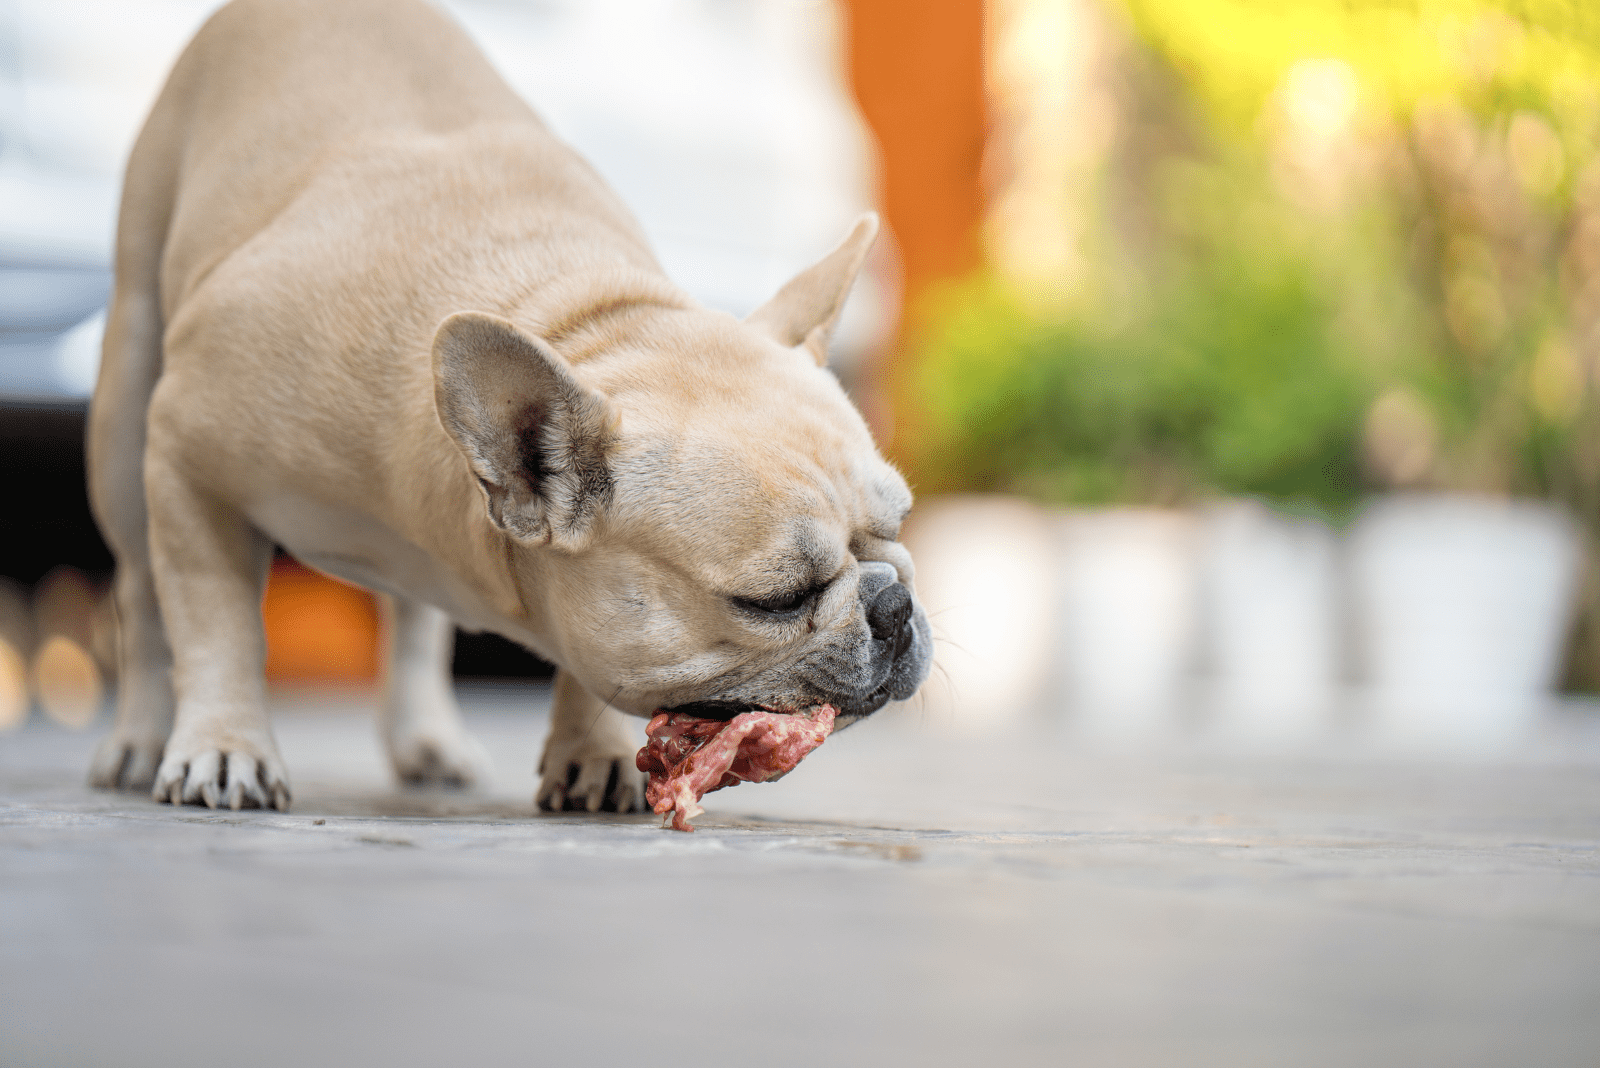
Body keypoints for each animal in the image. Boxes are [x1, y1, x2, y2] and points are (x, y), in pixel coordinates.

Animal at [87, 0, 934, 812]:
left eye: (897, 529)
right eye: (774, 600)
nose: (895, 604)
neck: (578, 317)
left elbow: (591, 663)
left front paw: (590, 753)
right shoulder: (188, 459)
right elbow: (215, 621)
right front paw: (226, 746)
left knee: (415, 623)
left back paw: (427, 738)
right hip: (128, 420)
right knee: (144, 593)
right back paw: (140, 741)